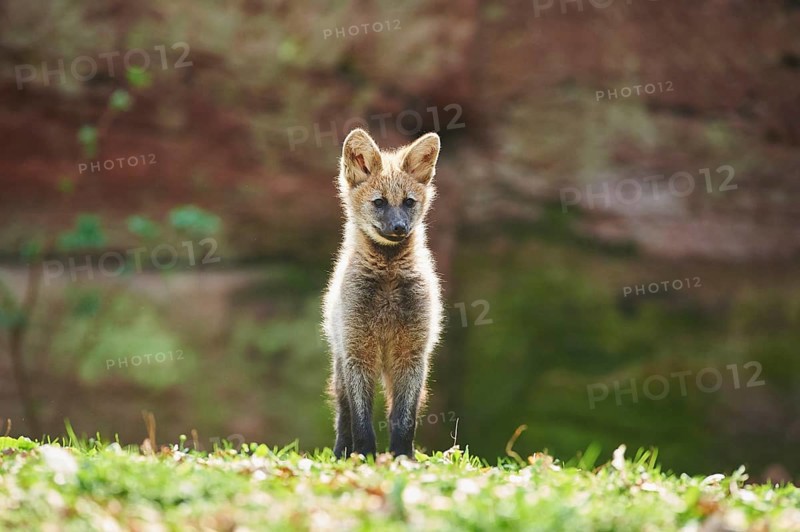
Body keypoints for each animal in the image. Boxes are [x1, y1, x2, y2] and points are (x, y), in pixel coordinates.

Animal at [322, 128, 443, 458]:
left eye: (409, 202)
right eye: (379, 202)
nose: (400, 227)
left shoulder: (412, 356)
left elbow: (403, 420)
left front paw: (401, 457)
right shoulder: (357, 353)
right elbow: (361, 419)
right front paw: (364, 456)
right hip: (341, 366)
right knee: (343, 414)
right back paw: (342, 452)